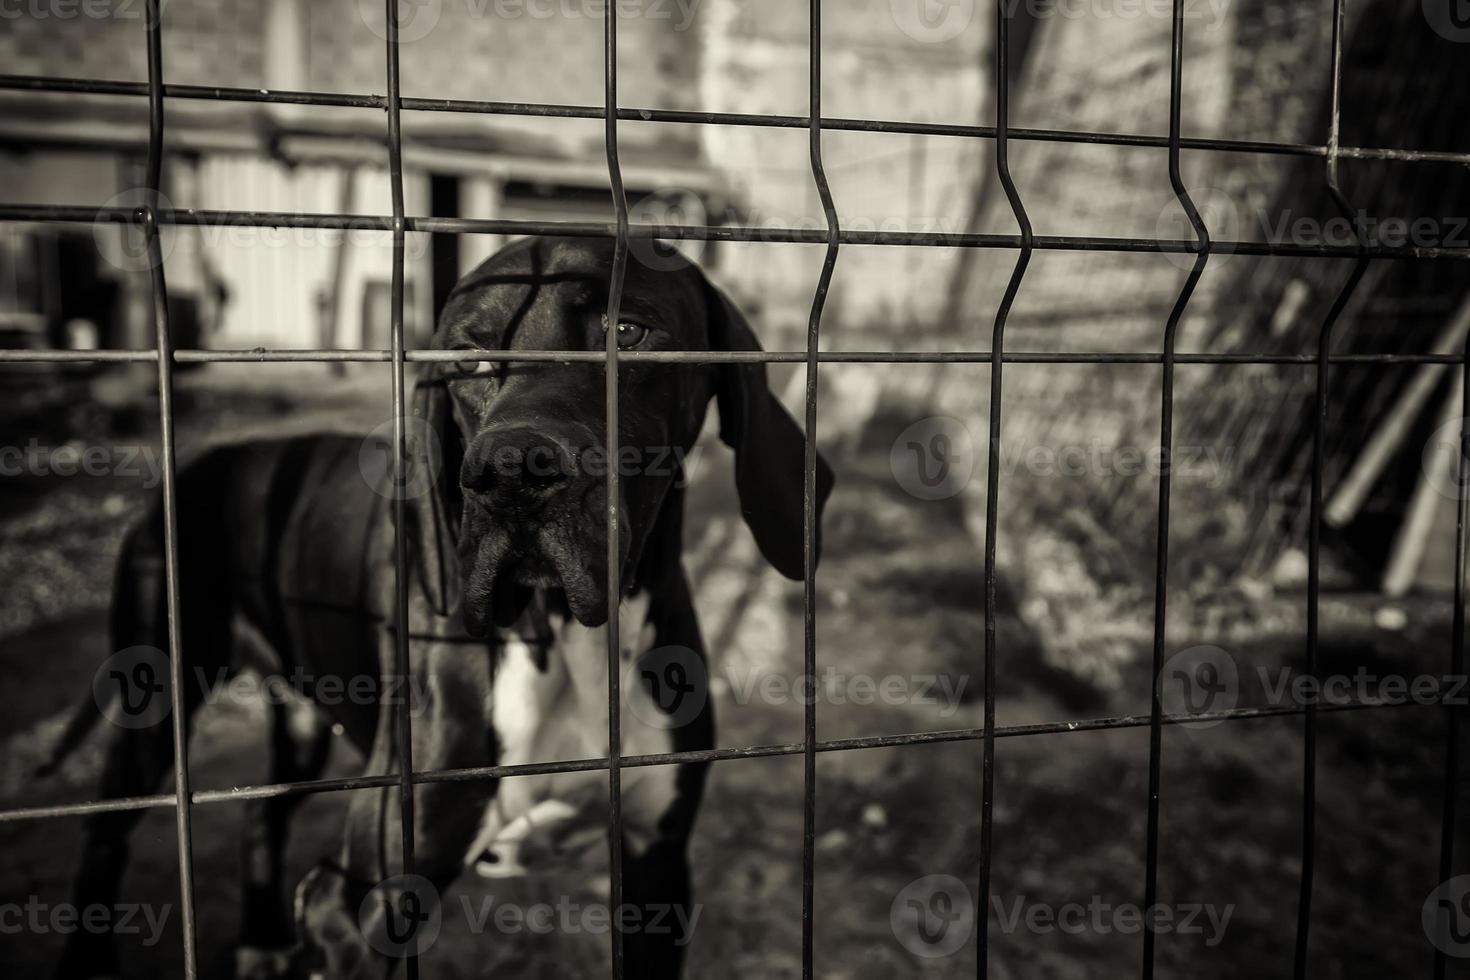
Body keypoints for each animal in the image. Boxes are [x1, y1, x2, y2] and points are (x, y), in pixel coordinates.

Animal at [51, 238, 834, 980]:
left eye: (628, 331)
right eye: (466, 359)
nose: (511, 473)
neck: (564, 640)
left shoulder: (658, 871)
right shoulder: (358, 906)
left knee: (258, 812)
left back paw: (263, 942)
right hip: (154, 699)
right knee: (102, 835)